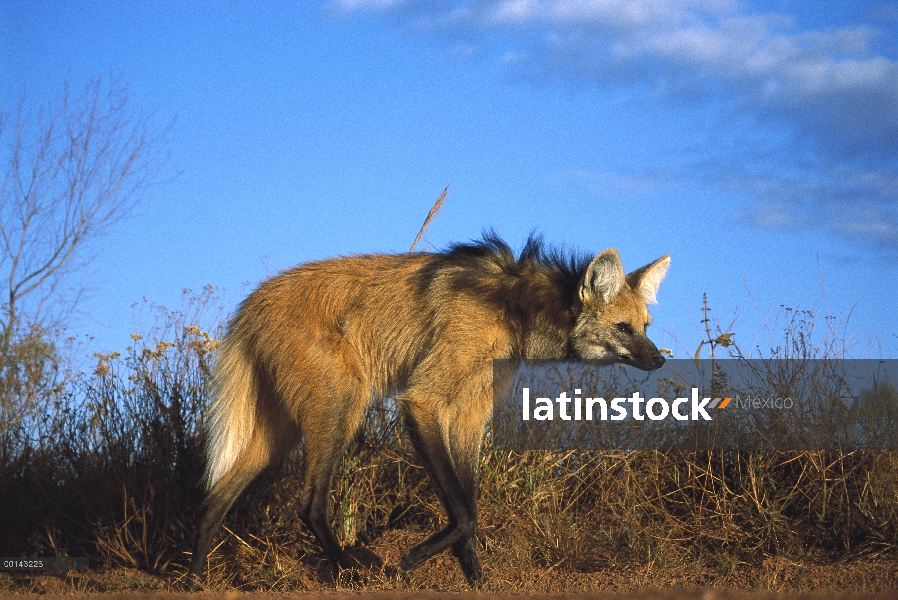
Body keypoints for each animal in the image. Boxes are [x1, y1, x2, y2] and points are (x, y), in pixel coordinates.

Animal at [187, 234, 664, 584]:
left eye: (645, 327)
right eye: (623, 328)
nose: (659, 359)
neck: (514, 308)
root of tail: (252, 303)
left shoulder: (469, 415)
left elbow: (469, 504)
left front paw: (476, 580)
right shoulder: (424, 401)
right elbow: (464, 511)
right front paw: (411, 560)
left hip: (280, 432)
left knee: (214, 501)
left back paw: (193, 582)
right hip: (343, 404)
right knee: (310, 504)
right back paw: (349, 573)